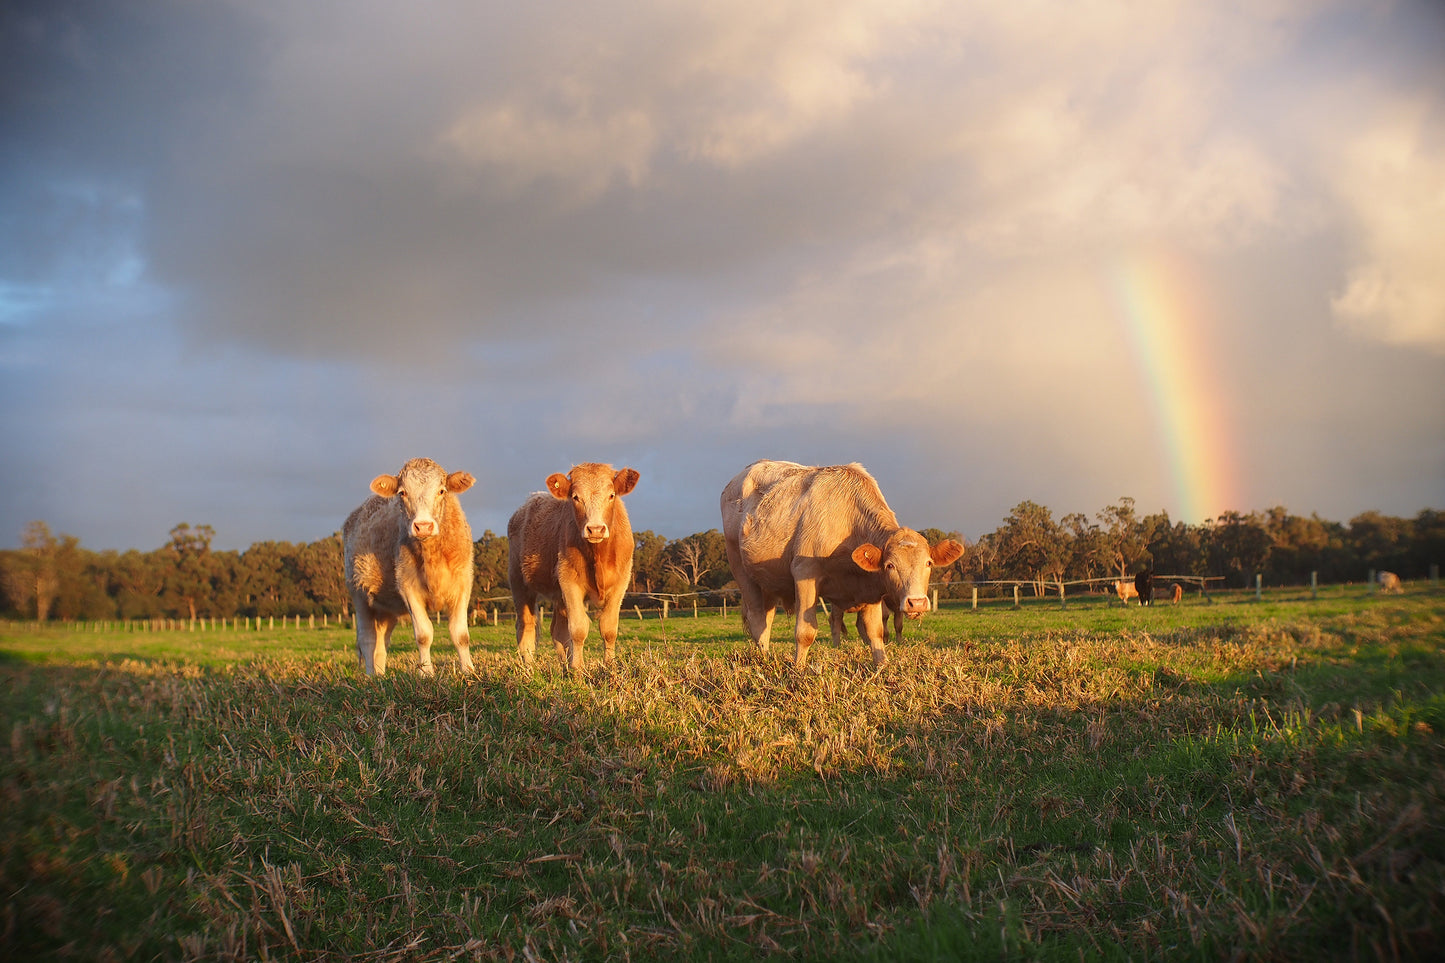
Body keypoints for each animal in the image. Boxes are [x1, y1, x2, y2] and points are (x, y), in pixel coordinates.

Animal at [342, 456, 473, 673]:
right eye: (402, 493)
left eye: (441, 490)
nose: (423, 526)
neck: (432, 558)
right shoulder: (408, 587)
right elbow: (423, 635)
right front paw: (426, 672)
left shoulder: (462, 584)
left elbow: (460, 635)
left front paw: (469, 671)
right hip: (359, 596)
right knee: (367, 640)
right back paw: (371, 677)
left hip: (386, 608)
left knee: (381, 644)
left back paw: (380, 675)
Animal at [511, 462, 641, 668]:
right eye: (575, 497)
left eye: (611, 495)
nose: (595, 529)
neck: (599, 555)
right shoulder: (569, 581)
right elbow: (578, 629)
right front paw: (578, 669)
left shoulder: (621, 582)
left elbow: (609, 628)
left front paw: (609, 666)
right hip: (518, 582)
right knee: (526, 627)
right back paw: (530, 668)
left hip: (558, 596)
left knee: (557, 631)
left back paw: (564, 666)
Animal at [719, 459, 965, 668]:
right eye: (890, 565)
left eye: (929, 563)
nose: (917, 603)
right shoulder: (804, 573)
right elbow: (805, 631)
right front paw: (798, 670)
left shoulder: (871, 590)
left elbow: (875, 632)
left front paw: (882, 666)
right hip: (741, 570)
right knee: (757, 620)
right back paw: (765, 660)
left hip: (768, 582)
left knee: (766, 621)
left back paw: (768, 656)